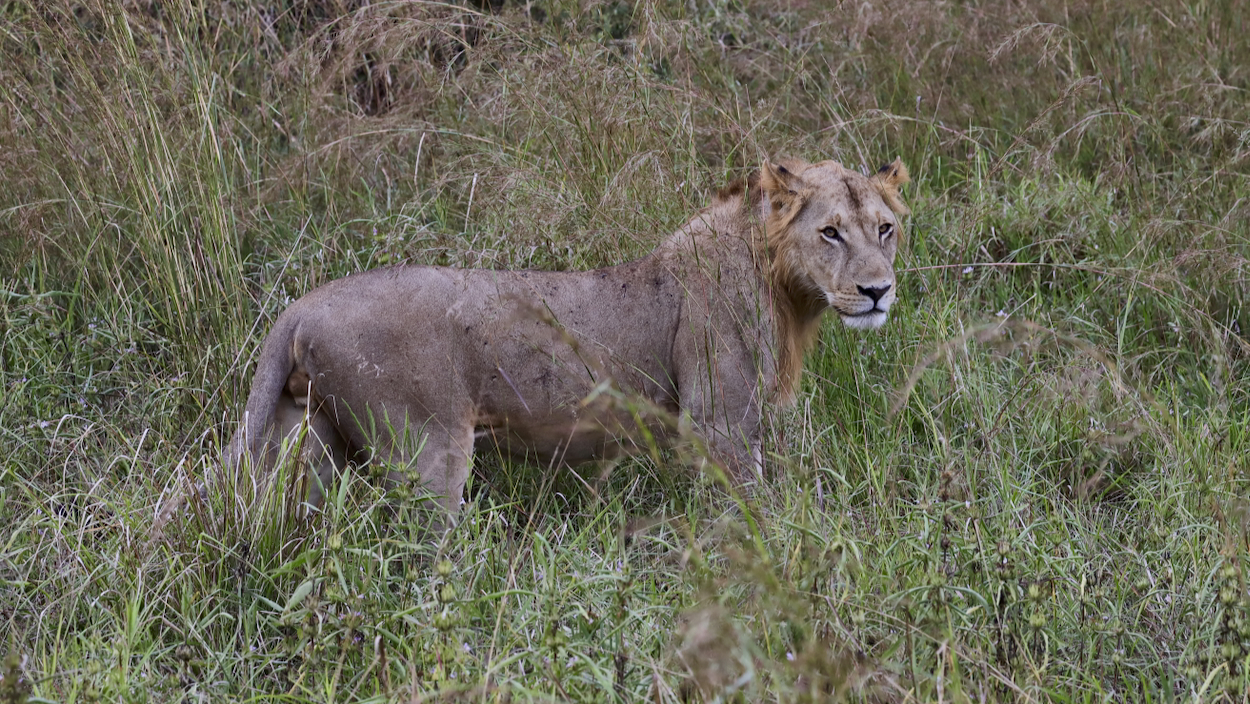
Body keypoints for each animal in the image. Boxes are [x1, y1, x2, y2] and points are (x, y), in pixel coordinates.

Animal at [227, 158, 910, 517]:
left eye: (885, 228)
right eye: (829, 232)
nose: (878, 290)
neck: (788, 292)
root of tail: (301, 306)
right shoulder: (721, 424)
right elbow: (748, 514)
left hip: (304, 441)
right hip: (428, 452)